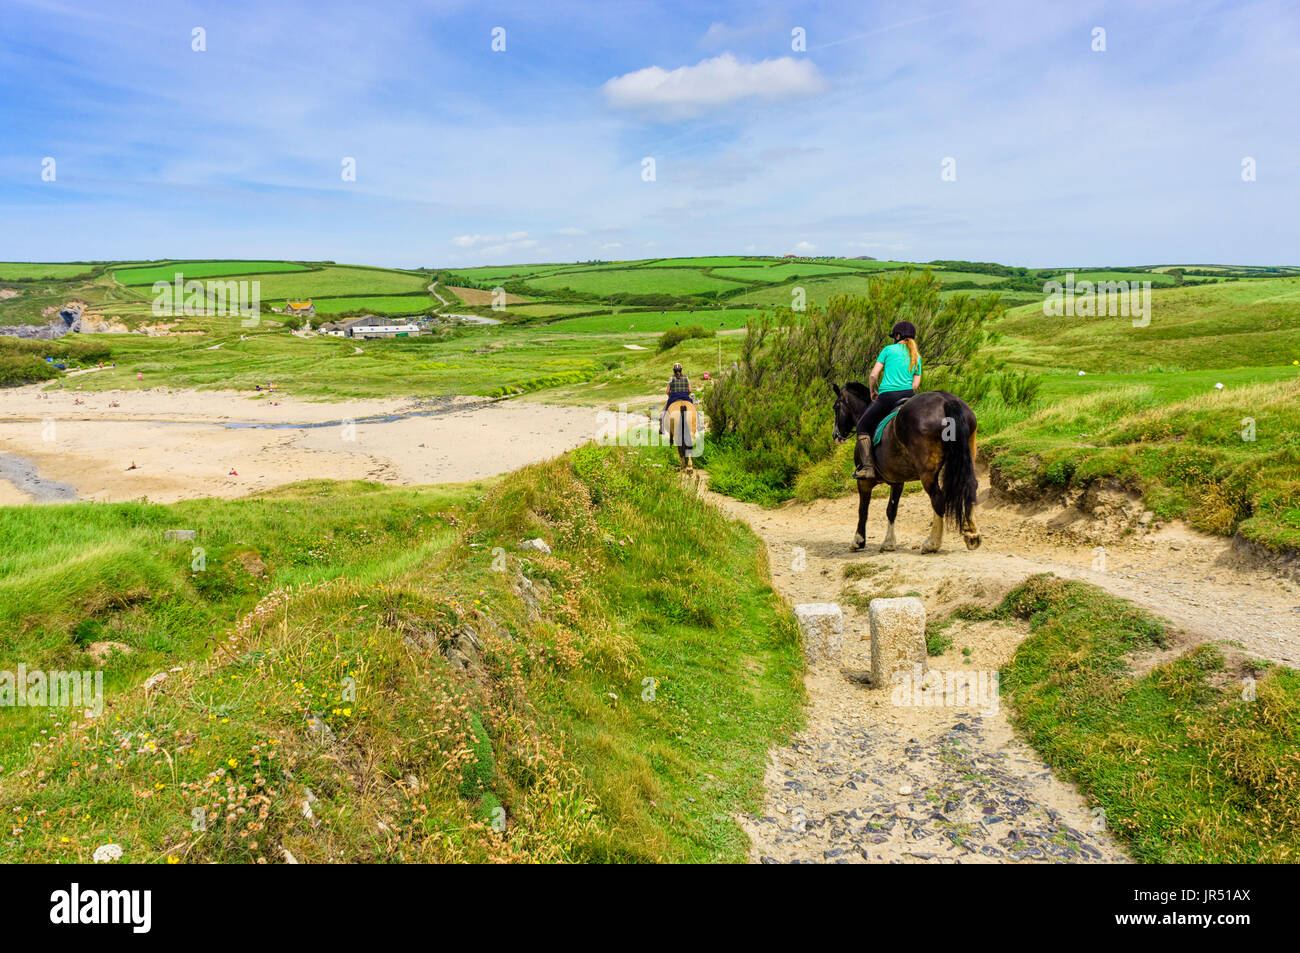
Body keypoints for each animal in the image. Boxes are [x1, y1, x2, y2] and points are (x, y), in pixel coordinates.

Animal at [826, 382, 977, 553]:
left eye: (836, 407)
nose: (836, 435)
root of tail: (946, 400)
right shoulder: (897, 481)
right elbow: (891, 510)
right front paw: (889, 542)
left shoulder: (864, 482)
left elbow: (863, 510)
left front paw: (858, 541)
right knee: (969, 487)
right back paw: (972, 534)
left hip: (927, 474)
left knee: (938, 499)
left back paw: (932, 543)